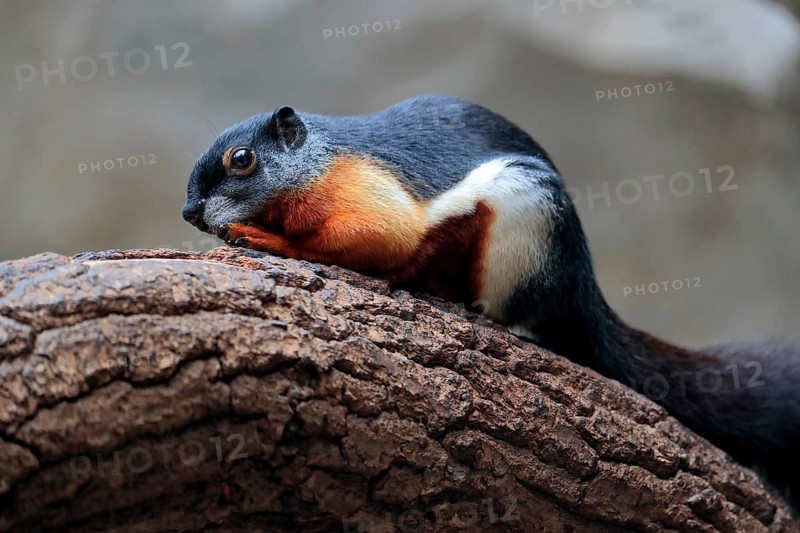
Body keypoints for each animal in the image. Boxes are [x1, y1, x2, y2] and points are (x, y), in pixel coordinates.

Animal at [183, 95, 800, 511]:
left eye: (242, 159)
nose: (189, 212)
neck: (319, 161)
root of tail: (583, 292)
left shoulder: (366, 193)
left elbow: (371, 238)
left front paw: (261, 236)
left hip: (519, 233)